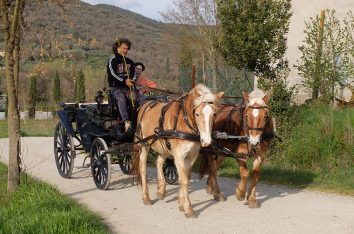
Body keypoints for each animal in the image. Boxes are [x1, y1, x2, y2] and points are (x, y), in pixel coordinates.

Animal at [134, 84, 223, 218]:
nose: (207, 141)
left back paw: (161, 190)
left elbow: (186, 177)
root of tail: (145, 105)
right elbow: (184, 180)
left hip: (164, 148)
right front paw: (188, 208)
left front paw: (181, 203)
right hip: (145, 145)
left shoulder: (191, 156)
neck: (184, 121)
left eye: (214, 114)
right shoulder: (179, 156)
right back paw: (146, 197)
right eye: (197, 114)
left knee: (158, 162)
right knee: (143, 168)